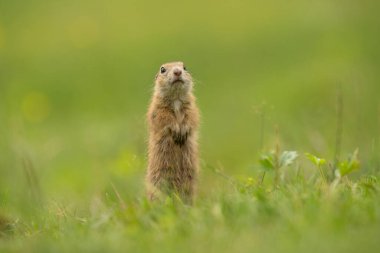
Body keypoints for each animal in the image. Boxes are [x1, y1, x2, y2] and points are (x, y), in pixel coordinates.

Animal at [145, 61, 199, 204]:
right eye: (162, 69)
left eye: (185, 67)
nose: (177, 72)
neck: (176, 99)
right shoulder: (158, 108)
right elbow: (164, 118)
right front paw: (176, 130)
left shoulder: (192, 107)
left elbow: (192, 117)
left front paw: (183, 131)